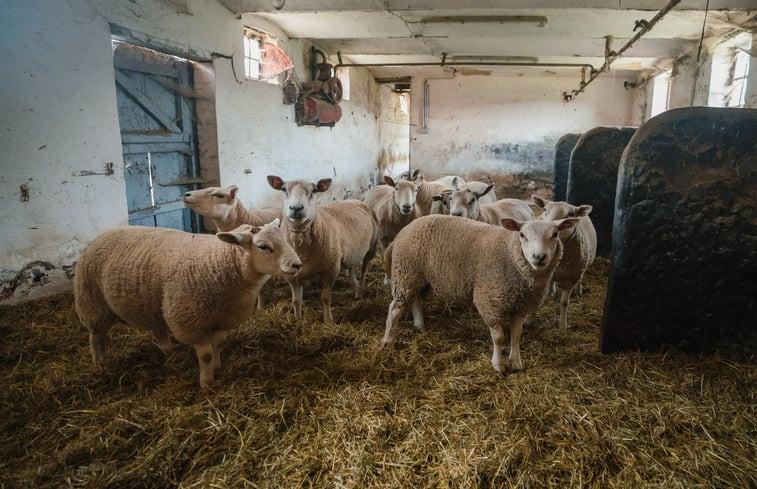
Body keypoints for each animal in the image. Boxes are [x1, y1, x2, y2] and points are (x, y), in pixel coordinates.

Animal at [74, 221, 302, 388]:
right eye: (263, 246)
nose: (297, 265)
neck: (220, 262)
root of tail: (104, 233)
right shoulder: (191, 322)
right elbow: (206, 354)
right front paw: (207, 383)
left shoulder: (222, 317)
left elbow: (219, 345)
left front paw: (218, 368)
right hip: (93, 303)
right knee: (96, 337)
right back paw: (100, 365)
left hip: (151, 305)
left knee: (158, 330)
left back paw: (169, 351)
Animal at [268, 175, 380, 324]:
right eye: (283, 189)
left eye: (314, 190)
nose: (296, 208)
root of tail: (357, 200)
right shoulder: (291, 275)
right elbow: (296, 301)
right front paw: (297, 319)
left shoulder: (331, 269)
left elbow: (325, 298)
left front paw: (328, 321)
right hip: (350, 251)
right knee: (351, 266)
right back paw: (355, 284)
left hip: (371, 246)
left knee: (364, 269)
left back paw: (359, 291)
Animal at [384, 215, 580, 372]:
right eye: (522, 235)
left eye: (555, 235)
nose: (539, 257)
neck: (510, 256)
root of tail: (404, 229)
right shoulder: (489, 302)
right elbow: (499, 337)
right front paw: (498, 365)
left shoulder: (519, 306)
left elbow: (516, 335)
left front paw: (516, 363)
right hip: (406, 274)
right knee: (394, 309)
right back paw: (388, 342)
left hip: (420, 278)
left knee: (416, 300)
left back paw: (420, 326)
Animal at [532, 194, 596, 328]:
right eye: (545, 209)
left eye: (571, 214)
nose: (546, 230)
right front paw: (528, 321)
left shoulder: (571, 278)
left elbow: (564, 303)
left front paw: (562, 326)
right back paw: (552, 291)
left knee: (580, 279)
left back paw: (578, 291)